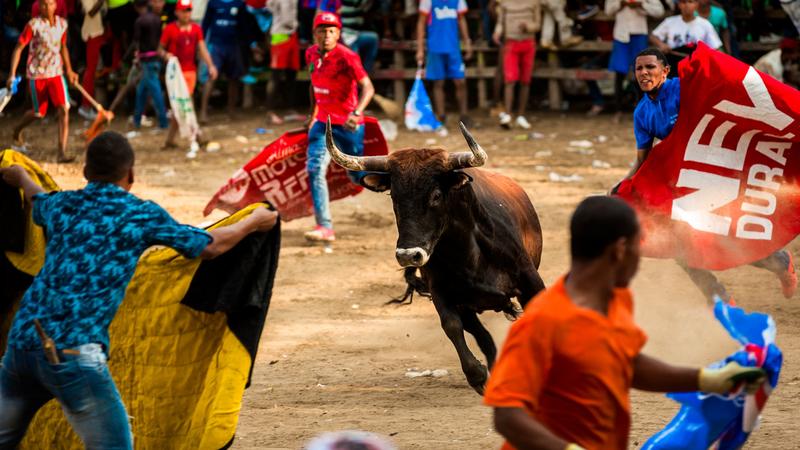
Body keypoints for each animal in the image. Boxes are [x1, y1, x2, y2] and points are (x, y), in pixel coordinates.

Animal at [324, 119, 544, 394]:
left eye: (436, 195)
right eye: (394, 196)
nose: (409, 254)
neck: (469, 253)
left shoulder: (530, 281)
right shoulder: (442, 293)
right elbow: (452, 326)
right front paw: (479, 376)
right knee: (481, 335)